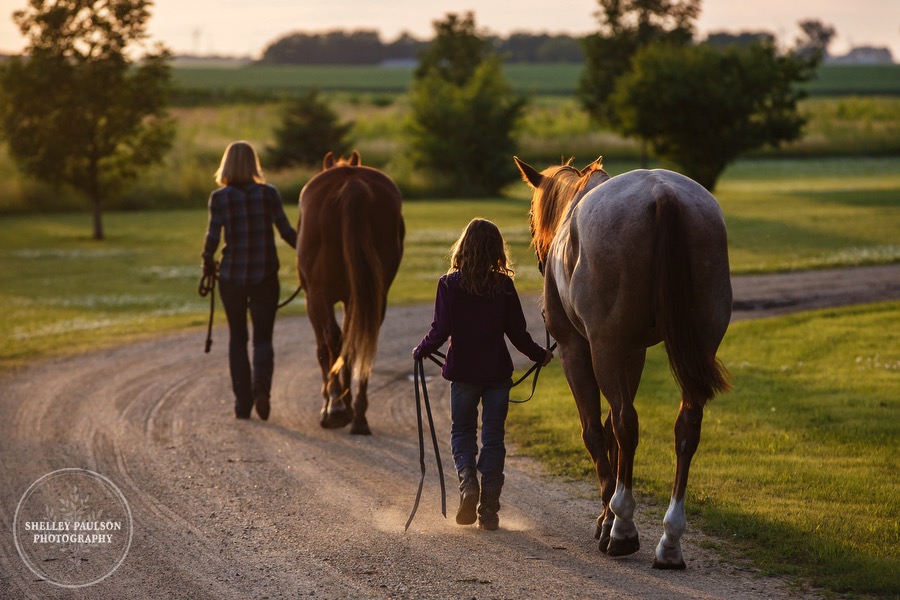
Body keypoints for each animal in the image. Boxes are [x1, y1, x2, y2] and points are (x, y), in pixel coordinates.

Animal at [298, 149, 404, 432]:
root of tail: (352, 183)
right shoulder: (352, 298)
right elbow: (350, 341)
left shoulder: (314, 300)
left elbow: (325, 348)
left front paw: (332, 401)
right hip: (375, 295)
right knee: (363, 340)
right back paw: (358, 414)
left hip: (319, 294)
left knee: (332, 337)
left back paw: (336, 406)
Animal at [512, 155, 732, 568]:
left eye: (532, 219)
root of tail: (664, 196)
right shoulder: (634, 352)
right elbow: (611, 429)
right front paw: (609, 513)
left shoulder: (578, 349)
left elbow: (596, 430)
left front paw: (607, 518)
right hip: (697, 345)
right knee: (686, 428)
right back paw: (670, 540)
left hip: (604, 347)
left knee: (626, 424)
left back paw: (623, 528)